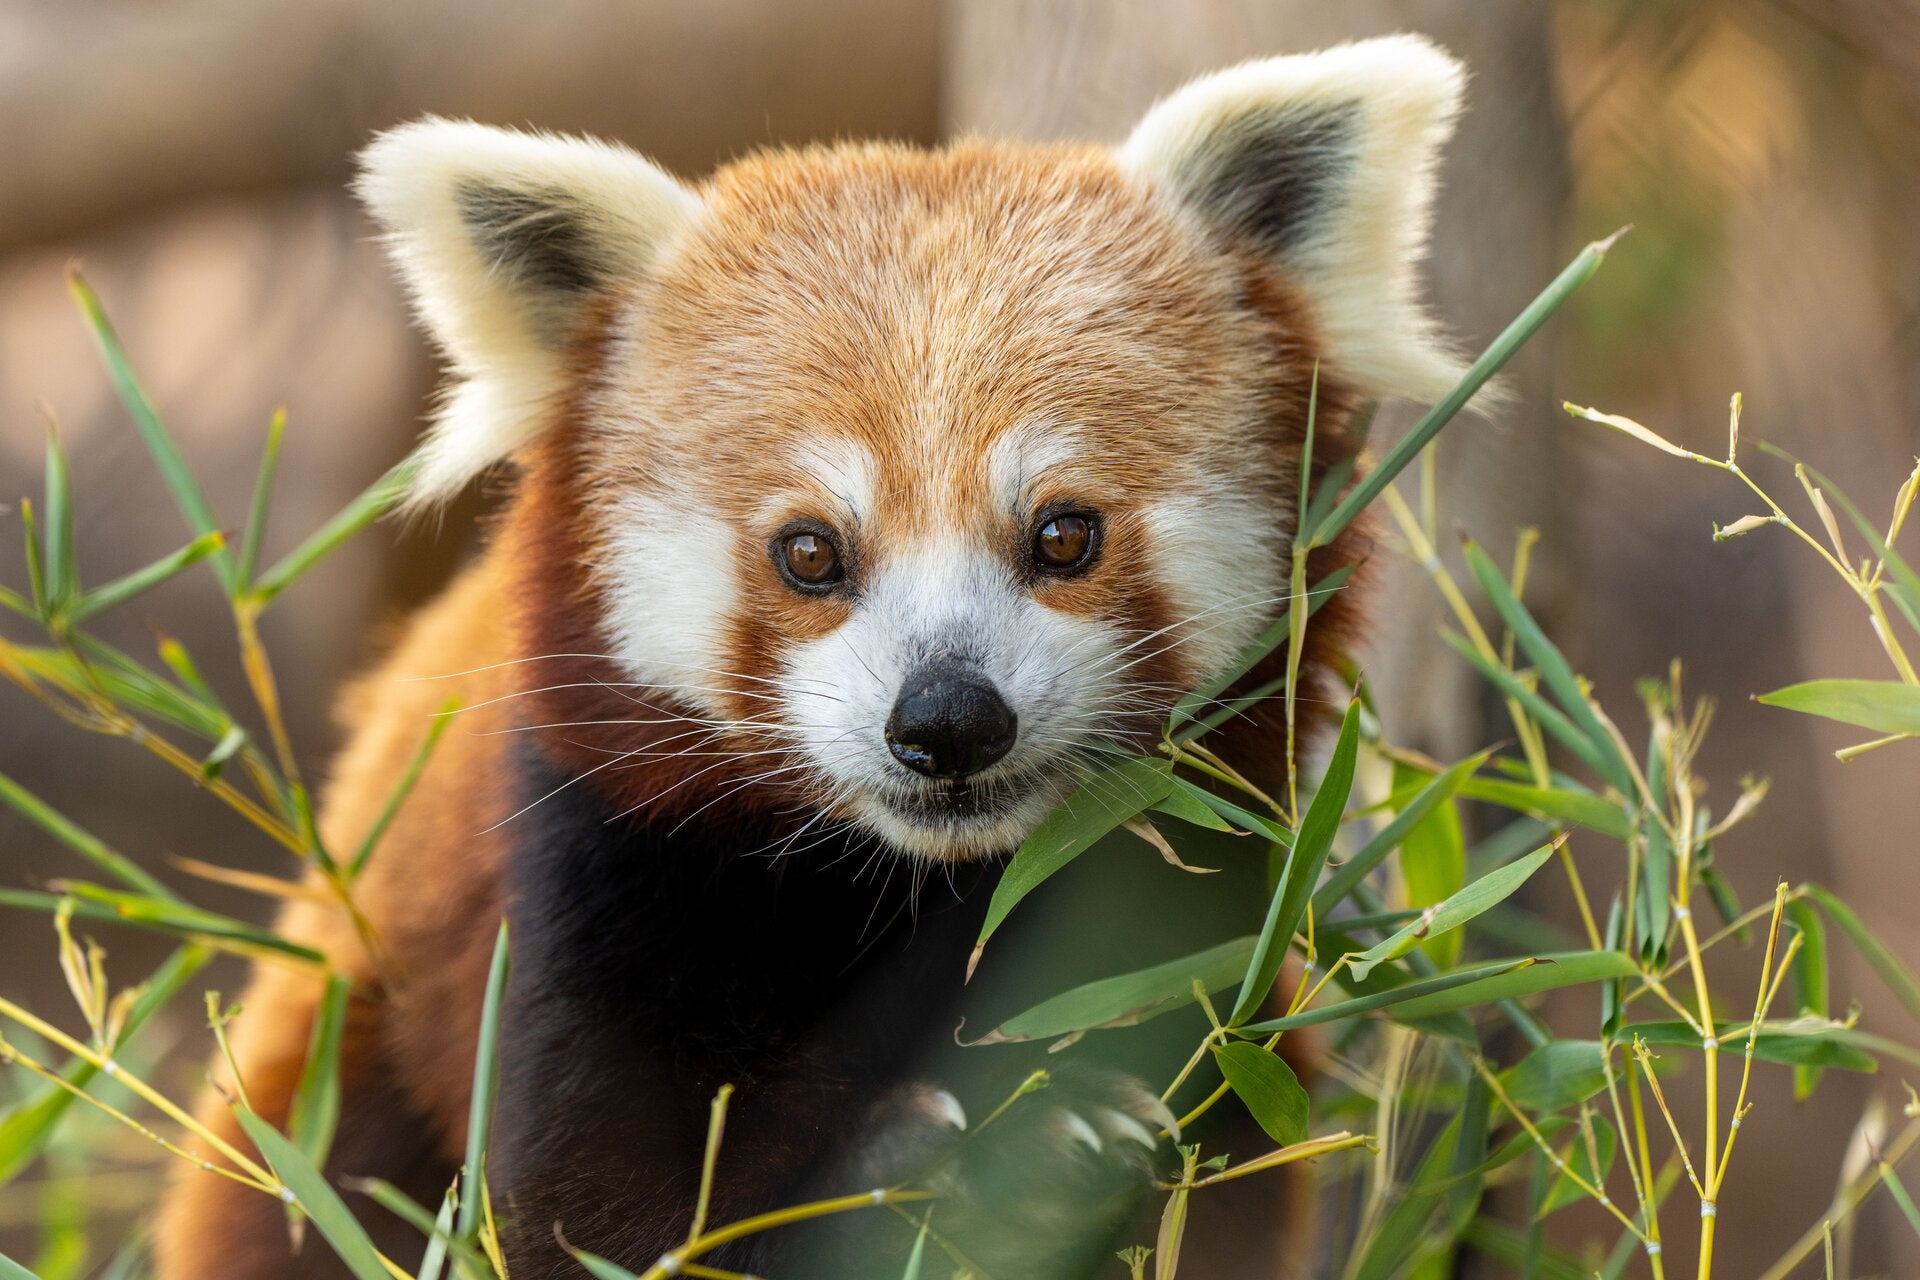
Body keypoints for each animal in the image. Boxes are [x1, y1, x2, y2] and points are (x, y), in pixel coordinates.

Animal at [157, 32, 1466, 1280]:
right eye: (809, 552)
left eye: (1063, 532)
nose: (946, 718)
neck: (920, 887)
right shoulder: (597, 879)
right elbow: (610, 1212)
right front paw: (932, 1170)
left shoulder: (1197, 952)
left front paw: (1051, 1155)